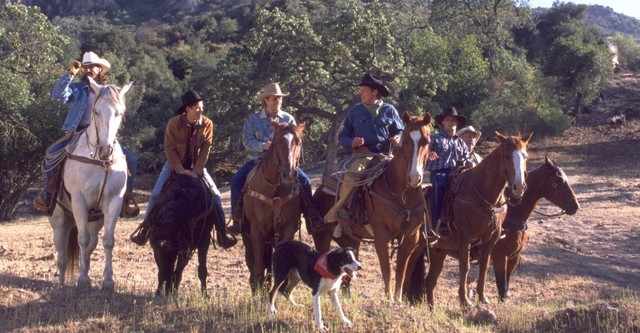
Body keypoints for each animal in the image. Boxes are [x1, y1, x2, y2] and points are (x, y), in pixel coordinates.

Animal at [49, 76, 132, 290]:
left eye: (120, 113)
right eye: (96, 111)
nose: (105, 149)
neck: (100, 162)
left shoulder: (114, 201)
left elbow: (108, 241)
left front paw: (108, 281)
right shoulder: (79, 200)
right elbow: (82, 239)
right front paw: (83, 280)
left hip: (94, 221)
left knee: (90, 245)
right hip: (59, 221)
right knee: (61, 255)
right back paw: (62, 284)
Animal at [240, 120, 304, 292]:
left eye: (298, 142)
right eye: (277, 141)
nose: (289, 174)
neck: (275, 188)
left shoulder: (287, 230)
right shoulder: (256, 232)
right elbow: (258, 267)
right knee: (254, 263)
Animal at [312, 111, 432, 300]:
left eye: (426, 141)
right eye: (405, 141)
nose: (414, 177)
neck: (401, 193)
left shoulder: (410, 238)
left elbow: (401, 271)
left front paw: (398, 300)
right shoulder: (382, 236)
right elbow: (387, 269)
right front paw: (388, 299)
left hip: (350, 239)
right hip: (322, 234)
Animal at [422, 131, 532, 308]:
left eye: (526, 156)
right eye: (506, 155)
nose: (519, 187)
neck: (483, 195)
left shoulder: (491, 238)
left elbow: (484, 266)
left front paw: (482, 297)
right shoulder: (465, 238)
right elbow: (464, 266)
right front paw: (464, 300)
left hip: (437, 251)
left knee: (430, 282)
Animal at [492, 156, 584, 300]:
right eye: (556, 183)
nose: (575, 206)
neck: (511, 215)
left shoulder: (514, 257)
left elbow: (506, 286)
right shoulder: (500, 257)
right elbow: (502, 288)